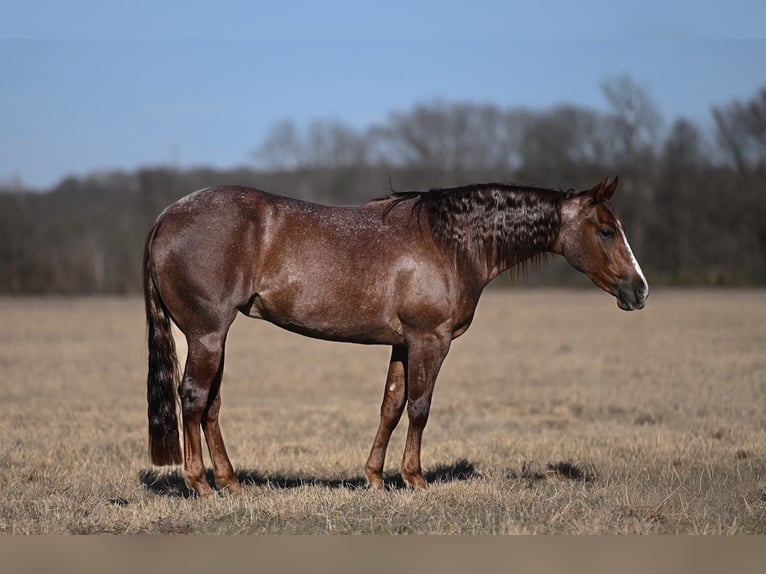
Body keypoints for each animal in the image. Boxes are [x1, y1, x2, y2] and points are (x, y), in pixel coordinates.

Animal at [143, 176, 648, 497]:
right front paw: (415, 478)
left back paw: (231, 483)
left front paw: (374, 477)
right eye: (607, 231)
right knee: (194, 398)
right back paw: (201, 485)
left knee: (210, 405)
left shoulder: (402, 344)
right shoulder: (430, 340)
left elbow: (391, 406)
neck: (451, 243)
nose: (639, 290)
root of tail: (166, 217)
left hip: (205, 337)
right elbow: (420, 408)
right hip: (209, 334)